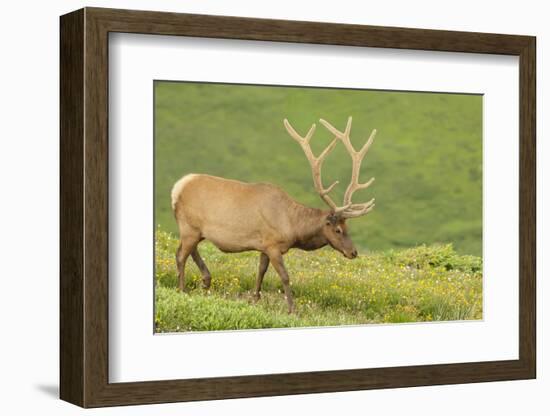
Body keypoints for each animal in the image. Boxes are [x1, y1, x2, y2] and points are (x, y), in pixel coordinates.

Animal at [172, 116, 380, 312]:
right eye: (338, 230)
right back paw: (182, 289)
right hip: (189, 227)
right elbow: (285, 276)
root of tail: (176, 188)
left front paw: (255, 299)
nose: (353, 252)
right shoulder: (273, 245)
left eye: (347, 227)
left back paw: (206, 280)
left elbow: (261, 271)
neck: (293, 227)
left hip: (195, 230)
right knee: (181, 255)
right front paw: (292, 310)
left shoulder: (264, 245)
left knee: (189, 251)